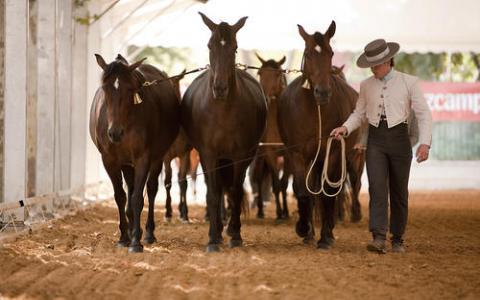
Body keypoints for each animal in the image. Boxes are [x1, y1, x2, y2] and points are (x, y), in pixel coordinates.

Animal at [90, 54, 180, 253]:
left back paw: (147, 233)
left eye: (129, 89)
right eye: (105, 88)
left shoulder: (143, 158)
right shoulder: (110, 160)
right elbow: (120, 196)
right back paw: (132, 230)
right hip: (126, 163)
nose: (115, 133)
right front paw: (124, 237)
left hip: (157, 157)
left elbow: (138, 197)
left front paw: (135, 243)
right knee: (129, 189)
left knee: (151, 189)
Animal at [182, 13, 268, 253]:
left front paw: (235, 235)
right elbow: (213, 193)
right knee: (218, 188)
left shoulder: (240, 155)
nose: (219, 88)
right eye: (210, 45)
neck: (222, 111)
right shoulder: (208, 154)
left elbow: (236, 191)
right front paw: (213, 238)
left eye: (235, 47)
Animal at [276, 22, 358, 250]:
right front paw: (303, 228)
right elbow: (303, 192)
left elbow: (326, 193)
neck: (315, 110)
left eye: (331, 53)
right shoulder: (297, 154)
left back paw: (327, 231)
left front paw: (325, 237)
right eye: (308, 53)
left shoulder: (333, 153)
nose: (323, 92)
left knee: (330, 192)